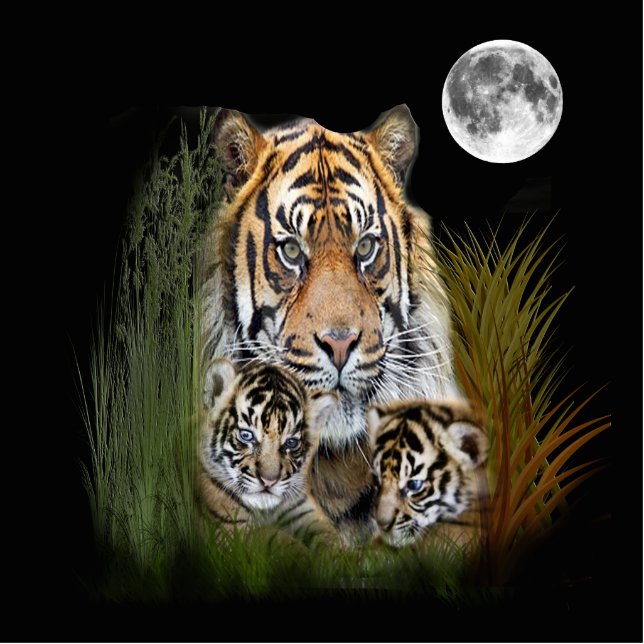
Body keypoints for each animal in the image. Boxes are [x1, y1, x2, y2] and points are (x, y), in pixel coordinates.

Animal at [199, 358, 339, 543]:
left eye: (291, 443)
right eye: (246, 435)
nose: (268, 482)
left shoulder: (302, 507)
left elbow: (329, 537)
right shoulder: (231, 528)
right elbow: (278, 540)